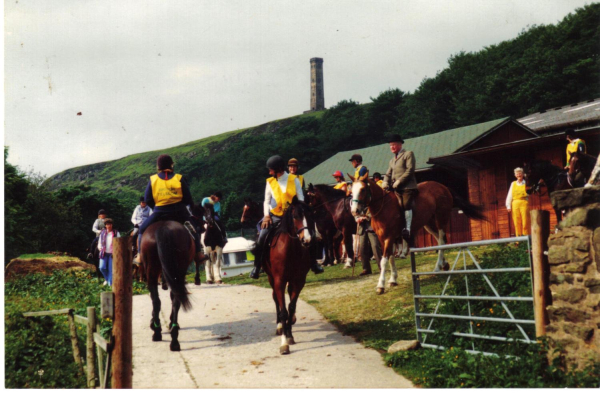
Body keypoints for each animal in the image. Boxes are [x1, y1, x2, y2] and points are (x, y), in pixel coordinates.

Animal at [140, 219, 195, 350]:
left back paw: (157, 331)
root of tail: (163, 228)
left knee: (157, 301)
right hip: (177, 273)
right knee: (174, 300)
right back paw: (174, 339)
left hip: (153, 272)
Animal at [264, 196, 316, 352]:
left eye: (311, 215)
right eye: (295, 216)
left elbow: (291, 307)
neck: (291, 250)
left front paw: (290, 336)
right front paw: (284, 343)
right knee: (276, 299)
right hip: (271, 278)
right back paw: (280, 327)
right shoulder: (279, 281)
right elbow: (283, 311)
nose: (307, 240)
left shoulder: (298, 281)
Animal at [350, 178, 486, 294]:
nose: (355, 211)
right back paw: (444, 264)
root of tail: (442, 186)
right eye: (351, 191)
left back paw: (437, 267)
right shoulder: (383, 238)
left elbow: (384, 261)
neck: (383, 206)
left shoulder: (389, 237)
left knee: (441, 241)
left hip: (441, 219)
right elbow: (390, 258)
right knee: (439, 240)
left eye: (362, 189)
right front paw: (393, 279)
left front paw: (380, 286)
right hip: (428, 223)